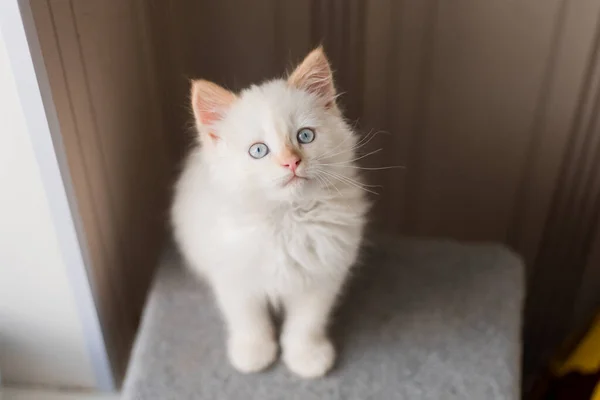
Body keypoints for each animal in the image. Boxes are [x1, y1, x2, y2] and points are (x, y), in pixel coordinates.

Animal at [170, 47, 370, 378]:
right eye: (259, 151)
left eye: (305, 136)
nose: (291, 162)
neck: (287, 219)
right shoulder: (233, 277)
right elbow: (248, 321)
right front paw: (254, 354)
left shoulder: (322, 277)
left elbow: (306, 323)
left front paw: (306, 357)